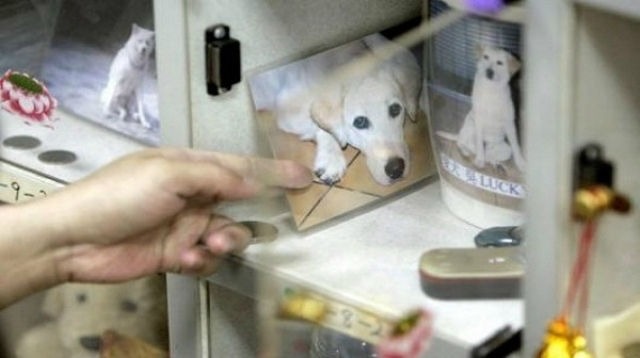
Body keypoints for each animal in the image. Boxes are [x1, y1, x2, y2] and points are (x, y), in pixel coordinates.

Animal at [252, 33, 422, 186]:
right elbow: (320, 126)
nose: (396, 170)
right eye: (360, 122)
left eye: (395, 110)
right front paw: (331, 158)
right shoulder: (288, 109)